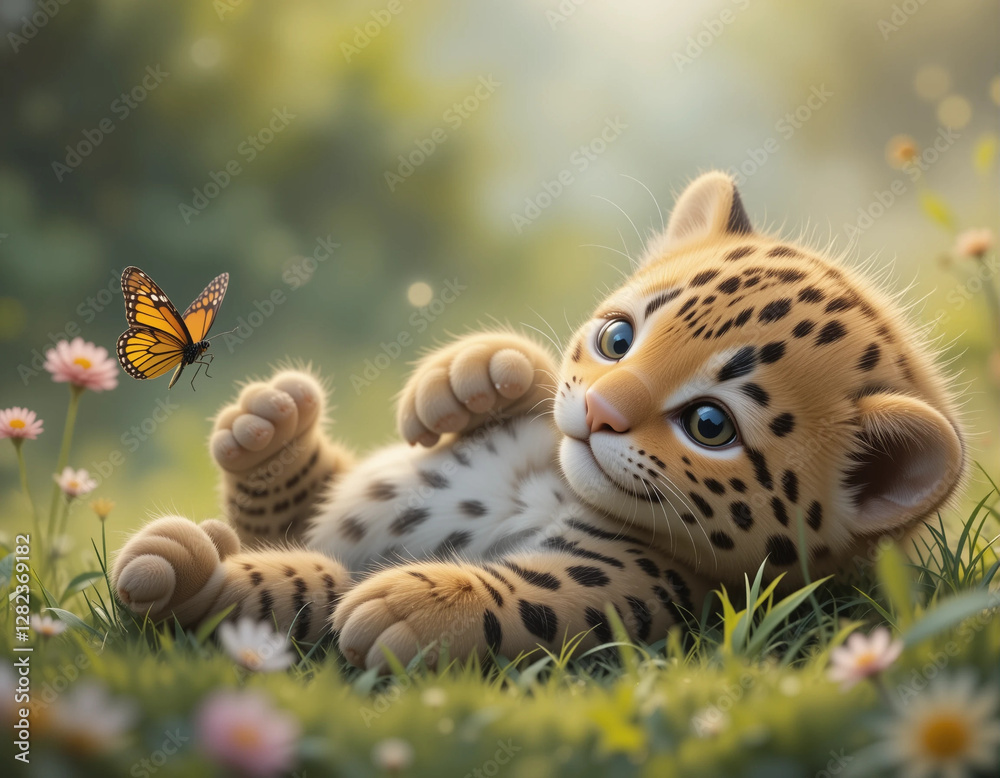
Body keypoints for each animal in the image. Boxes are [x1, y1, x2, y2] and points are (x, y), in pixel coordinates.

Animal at [111, 171, 966, 672]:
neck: (551, 479)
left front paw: (413, 606)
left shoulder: (640, 582)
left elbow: (532, 597)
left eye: (711, 424)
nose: (599, 411)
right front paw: (473, 375)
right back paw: (268, 427)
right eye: (618, 339)